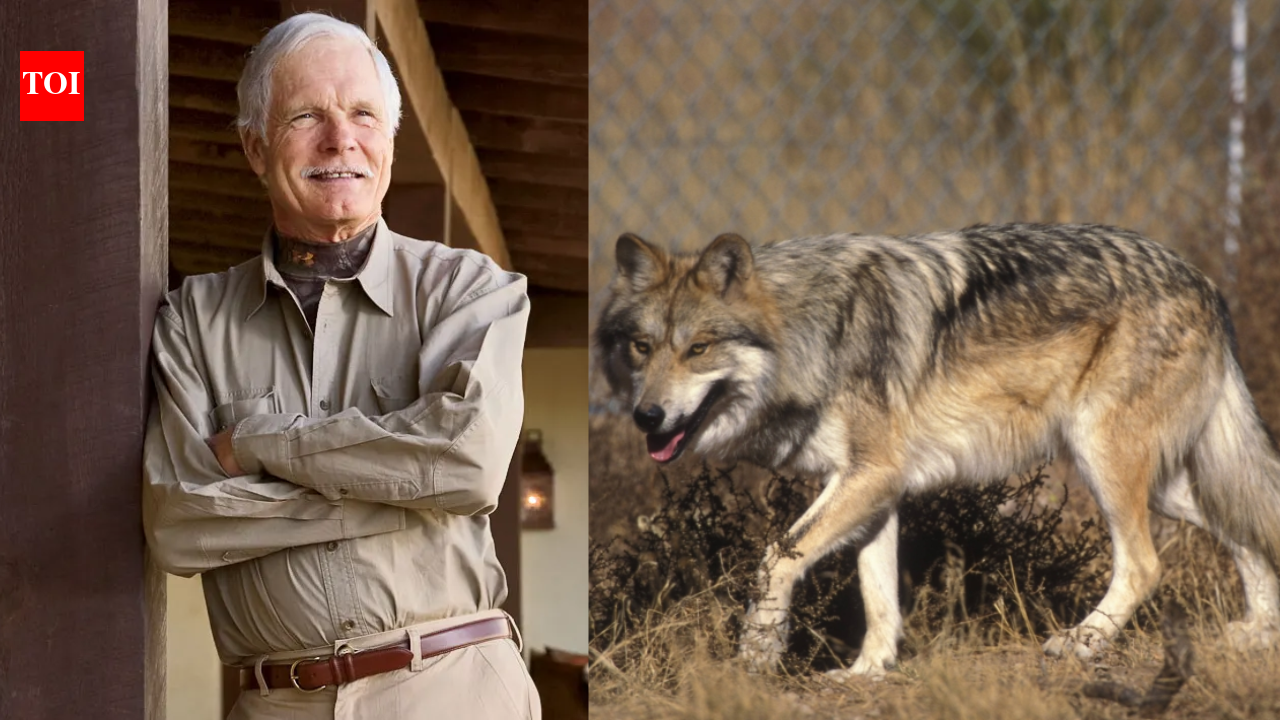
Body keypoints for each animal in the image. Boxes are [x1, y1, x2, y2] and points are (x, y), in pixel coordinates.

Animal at [595, 223, 1280, 678]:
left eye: (698, 349)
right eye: (641, 347)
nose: (647, 416)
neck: (811, 335)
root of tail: (1204, 281)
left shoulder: (871, 476)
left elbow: (773, 559)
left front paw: (758, 653)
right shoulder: (875, 488)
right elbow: (879, 597)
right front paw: (867, 673)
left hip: (1106, 462)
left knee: (1145, 565)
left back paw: (1082, 642)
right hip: (1168, 484)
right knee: (1248, 529)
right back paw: (1260, 635)